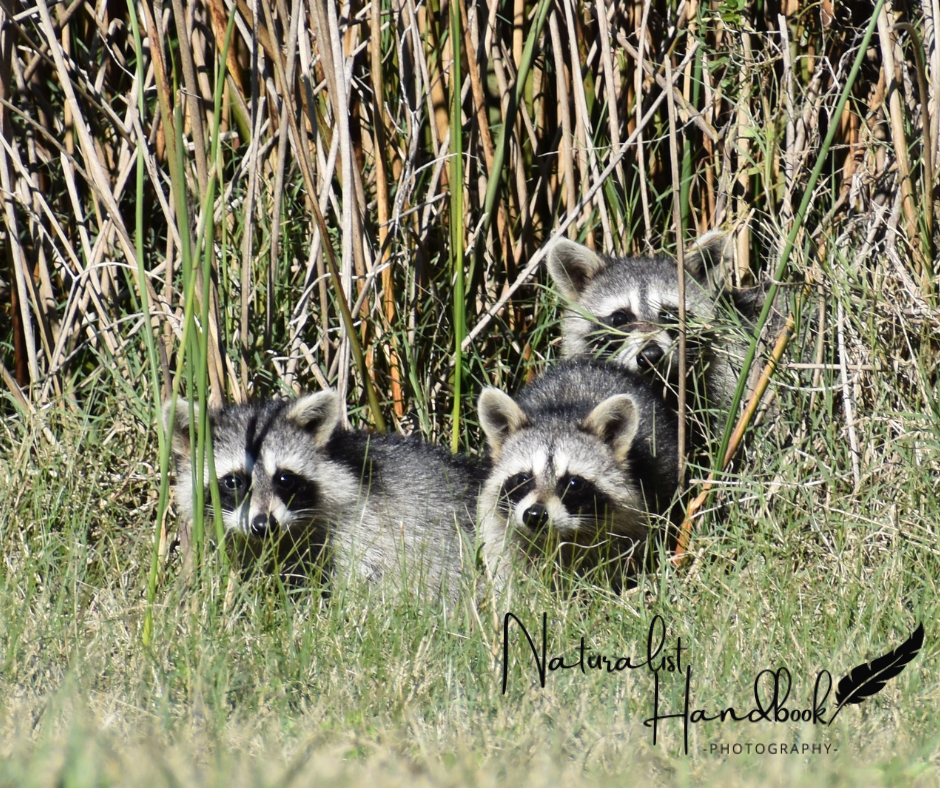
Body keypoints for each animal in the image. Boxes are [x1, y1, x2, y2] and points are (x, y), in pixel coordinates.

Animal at [476, 360, 680, 591]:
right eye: (522, 479)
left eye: (574, 483)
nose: (535, 515)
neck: (562, 415)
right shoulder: (498, 519)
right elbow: (506, 556)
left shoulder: (630, 518)